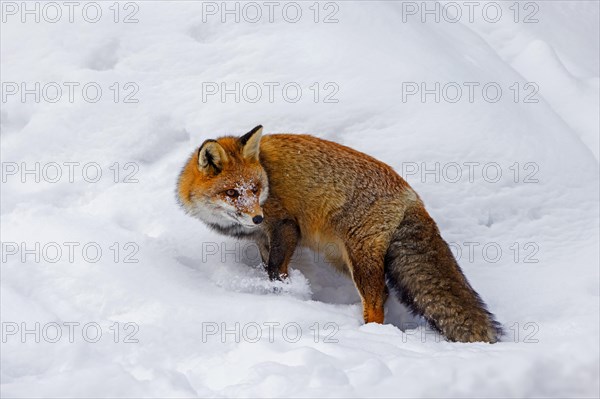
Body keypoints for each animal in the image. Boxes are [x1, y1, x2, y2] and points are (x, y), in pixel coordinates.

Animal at [177, 126, 502, 344]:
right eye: (232, 193)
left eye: (255, 189)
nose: (257, 216)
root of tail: (412, 195)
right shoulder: (263, 240)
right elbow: (270, 268)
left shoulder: (285, 225)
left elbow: (275, 270)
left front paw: (283, 293)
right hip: (341, 258)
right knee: (384, 293)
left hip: (359, 258)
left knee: (376, 299)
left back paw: (369, 336)